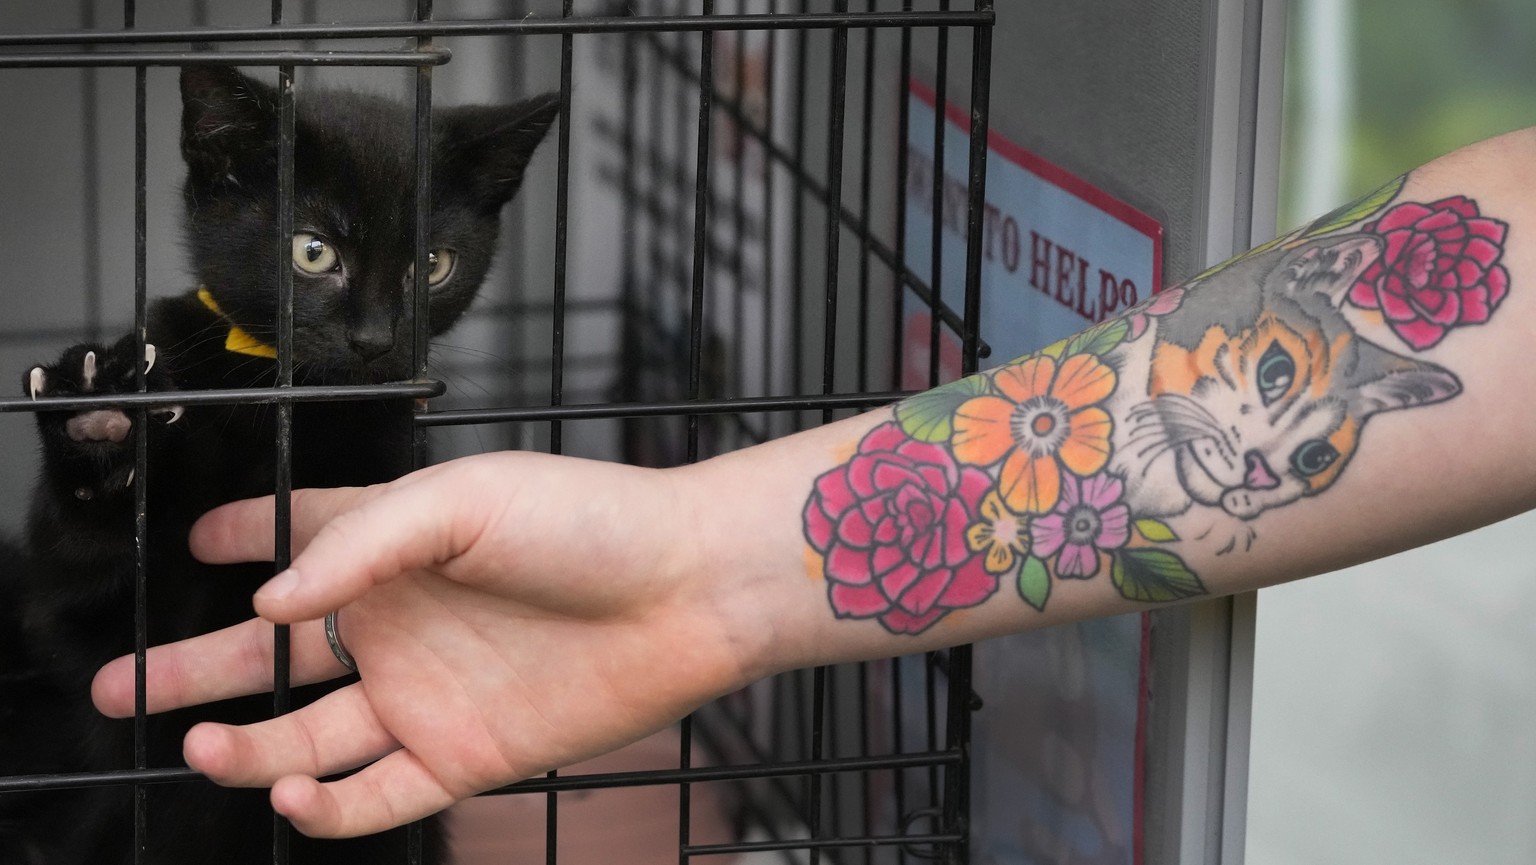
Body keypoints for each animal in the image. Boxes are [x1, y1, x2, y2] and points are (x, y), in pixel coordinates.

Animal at [0, 67, 562, 865]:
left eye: (431, 266)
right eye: (314, 252)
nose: (374, 338)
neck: (286, 409)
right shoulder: (92, 643)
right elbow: (88, 589)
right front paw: (100, 423)